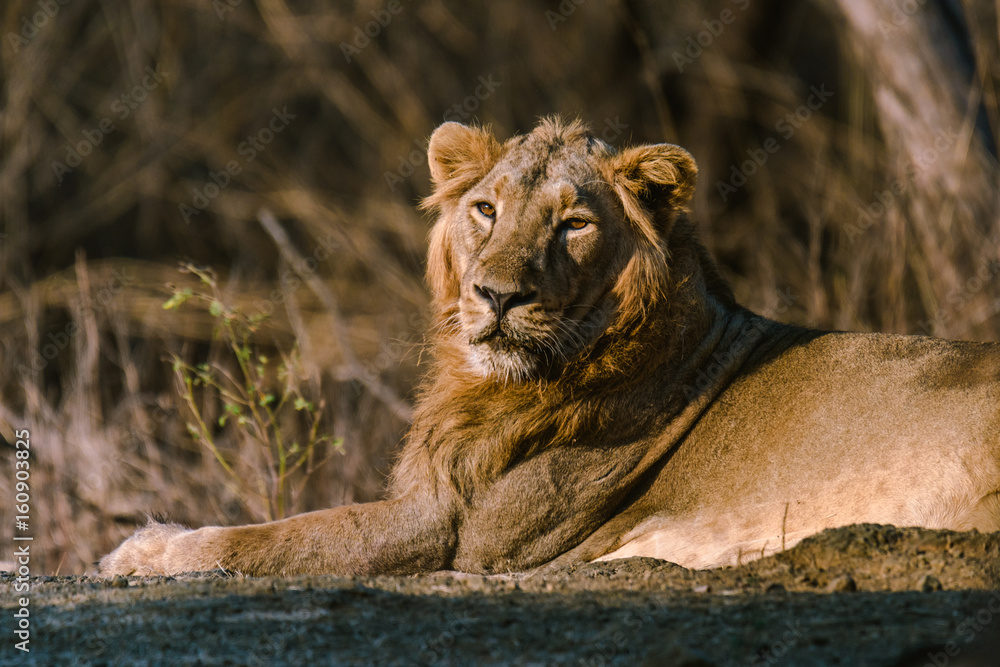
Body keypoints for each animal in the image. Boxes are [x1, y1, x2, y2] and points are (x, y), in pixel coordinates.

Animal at [100, 117, 1000, 577]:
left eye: (573, 223)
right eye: (486, 210)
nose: (498, 295)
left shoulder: (461, 535)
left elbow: (280, 535)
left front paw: (145, 548)